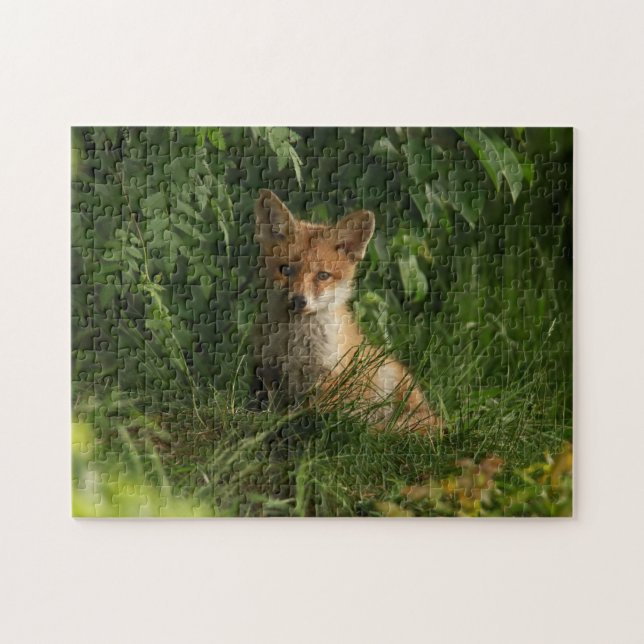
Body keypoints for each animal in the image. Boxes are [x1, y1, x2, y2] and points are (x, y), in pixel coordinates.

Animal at [252, 189, 442, 435]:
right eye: (285, 270)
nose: (298, 301)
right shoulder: (269, 371)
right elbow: (271, 407)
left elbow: (317, 411)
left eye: (323, 275)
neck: (295, 341)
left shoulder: (329, 376)